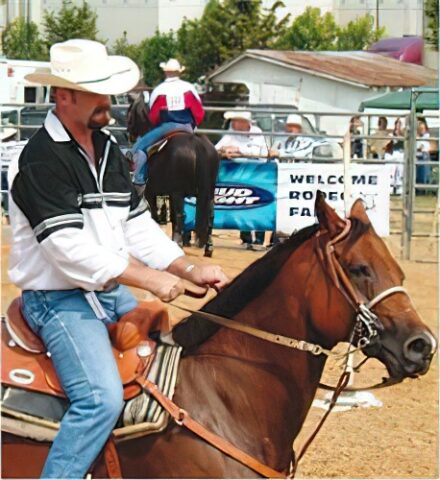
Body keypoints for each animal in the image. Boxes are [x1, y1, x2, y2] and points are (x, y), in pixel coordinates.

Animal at [125, 95, 218, 256]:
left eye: (130, 112)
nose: (127, 133)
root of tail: (197, 144)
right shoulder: (169, 194)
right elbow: (172, 217)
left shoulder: (153, 193)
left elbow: (156, 215)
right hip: (208, 191)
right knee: (210, 216)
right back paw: (208, 247)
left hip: (178, 192)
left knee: (181, 215)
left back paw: (178, 243)